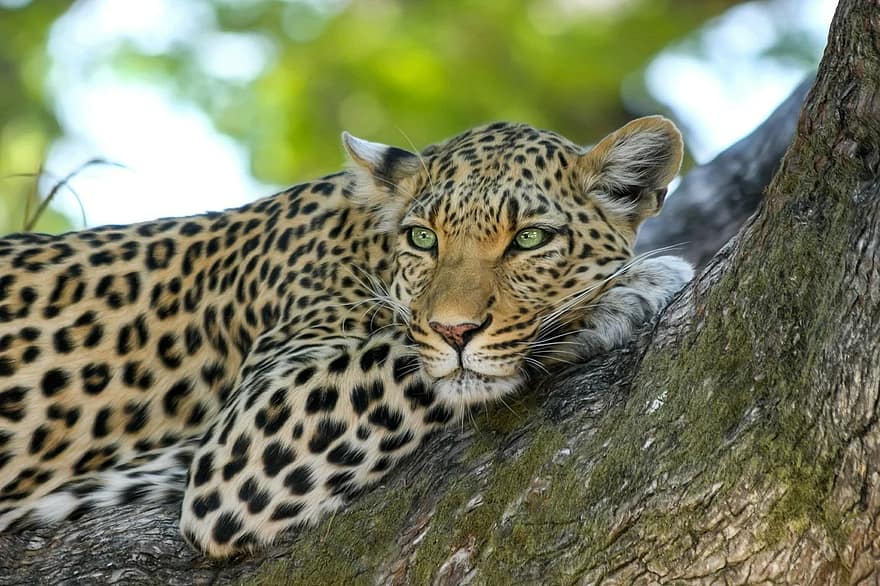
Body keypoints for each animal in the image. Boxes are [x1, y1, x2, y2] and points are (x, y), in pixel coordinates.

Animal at [0, 115, 696, 556]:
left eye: (529, 238)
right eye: (424, 238)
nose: (455, 329)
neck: (367, 245)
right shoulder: (248, 434)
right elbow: (404, 355)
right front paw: (627, 289)